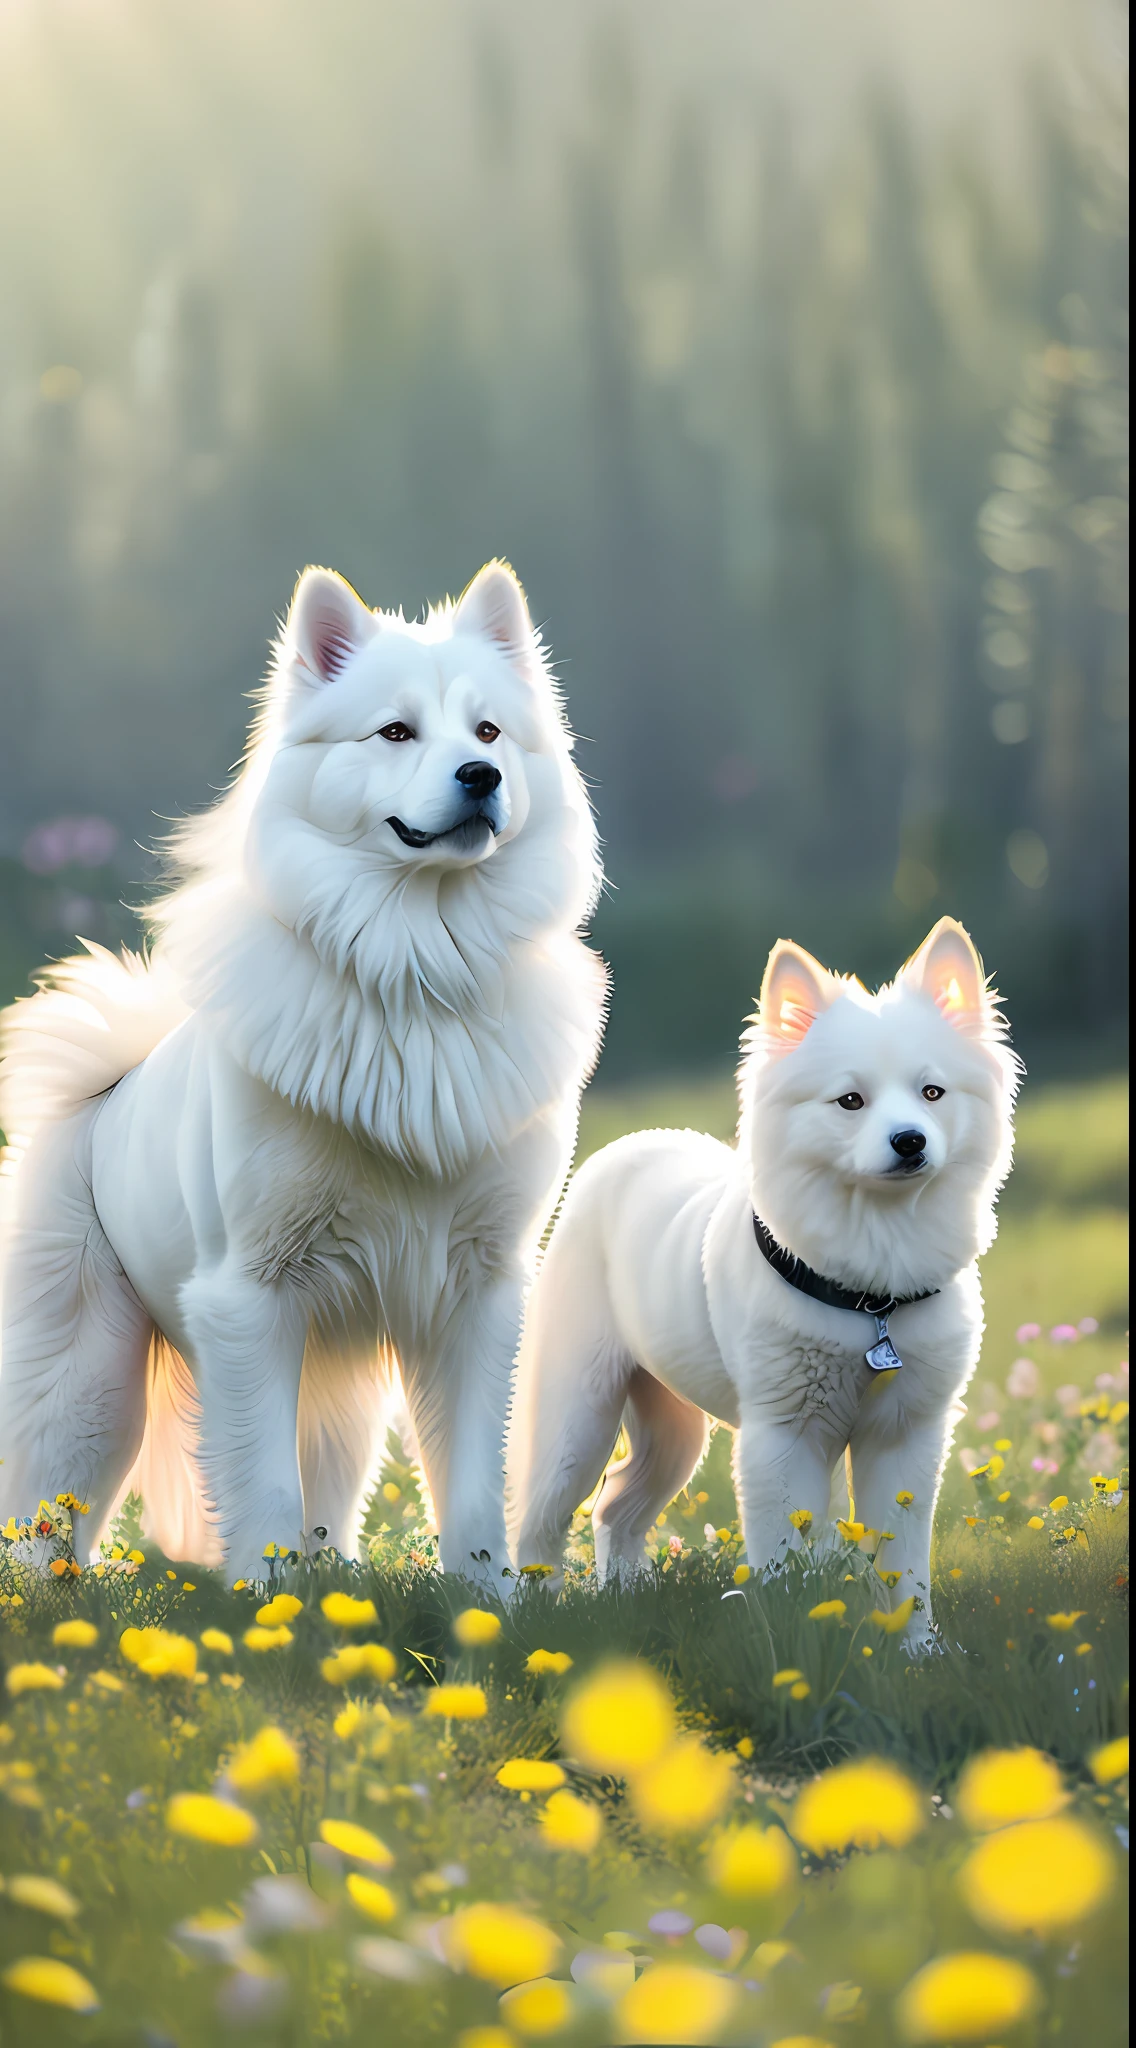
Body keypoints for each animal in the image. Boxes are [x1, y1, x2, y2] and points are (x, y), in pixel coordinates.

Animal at [0, 561, 609, 1581]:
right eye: (396, 731)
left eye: (489, 733)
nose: (481, 777)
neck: (415, 974)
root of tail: (102, 1092)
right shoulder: (249, 1297)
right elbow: (264, 1492)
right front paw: (268, 1606)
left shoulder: (478, 1295)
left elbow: (473, 1492)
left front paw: (484, 1604)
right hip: (87, 1390)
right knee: (46, 1530)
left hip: (334, 1391)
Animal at [509, 921, 1023, 1638]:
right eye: (850, 1100)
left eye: (932, 1093)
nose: (910, 1142)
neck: (872, 1300)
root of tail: (626, 1147)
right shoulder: (784, 1438)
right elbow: (785, 1562)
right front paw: (795, 1639)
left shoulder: (905, 1432)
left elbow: (904, 1566)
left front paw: (917, 1647)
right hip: (578, 1416)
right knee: (541, 1520)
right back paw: (534, 1621)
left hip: (672, 1431)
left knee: (616, 1507)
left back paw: (624, 1601)